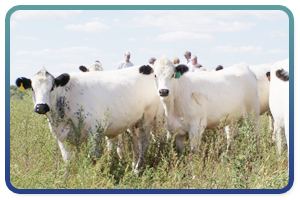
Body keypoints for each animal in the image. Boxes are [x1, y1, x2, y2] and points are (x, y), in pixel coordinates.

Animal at [15, 65, 159, 171]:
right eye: (32, 88)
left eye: (52, 87)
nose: (41, 107)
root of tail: (147, 67)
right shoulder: (60, 137)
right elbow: (68, 161)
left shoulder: (94, 132)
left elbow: (92, 158)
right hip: (133, 123)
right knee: (135, 142)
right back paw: (134, 166)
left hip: (147, 118)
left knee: (144, 143)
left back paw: (137, 170)